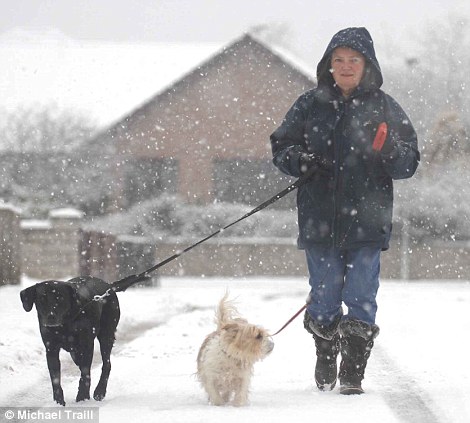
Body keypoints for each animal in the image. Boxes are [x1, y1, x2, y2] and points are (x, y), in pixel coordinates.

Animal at [20, 276, 120, 406]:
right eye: (42, 299)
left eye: (60, 298)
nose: (51, 316)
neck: (64, 325)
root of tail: (109, 286)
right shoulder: (51, 349)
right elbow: (55, 378)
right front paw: (58, 402)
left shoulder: (87, 345)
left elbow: (85, 372)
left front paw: (82, 397)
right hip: (75, 353)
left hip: (106, 335)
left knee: (106, 364)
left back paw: (100, 391)